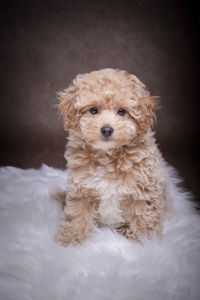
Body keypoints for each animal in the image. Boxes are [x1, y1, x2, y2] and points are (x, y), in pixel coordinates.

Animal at [54, 68, 172, 246]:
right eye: (93, 110)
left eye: (122, 111)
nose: (107, 129)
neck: (108, 156)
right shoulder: (82, 189)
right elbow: (77, 215)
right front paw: (68, 240)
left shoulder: (143, 191)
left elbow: (142, 218)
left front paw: (143, 243)